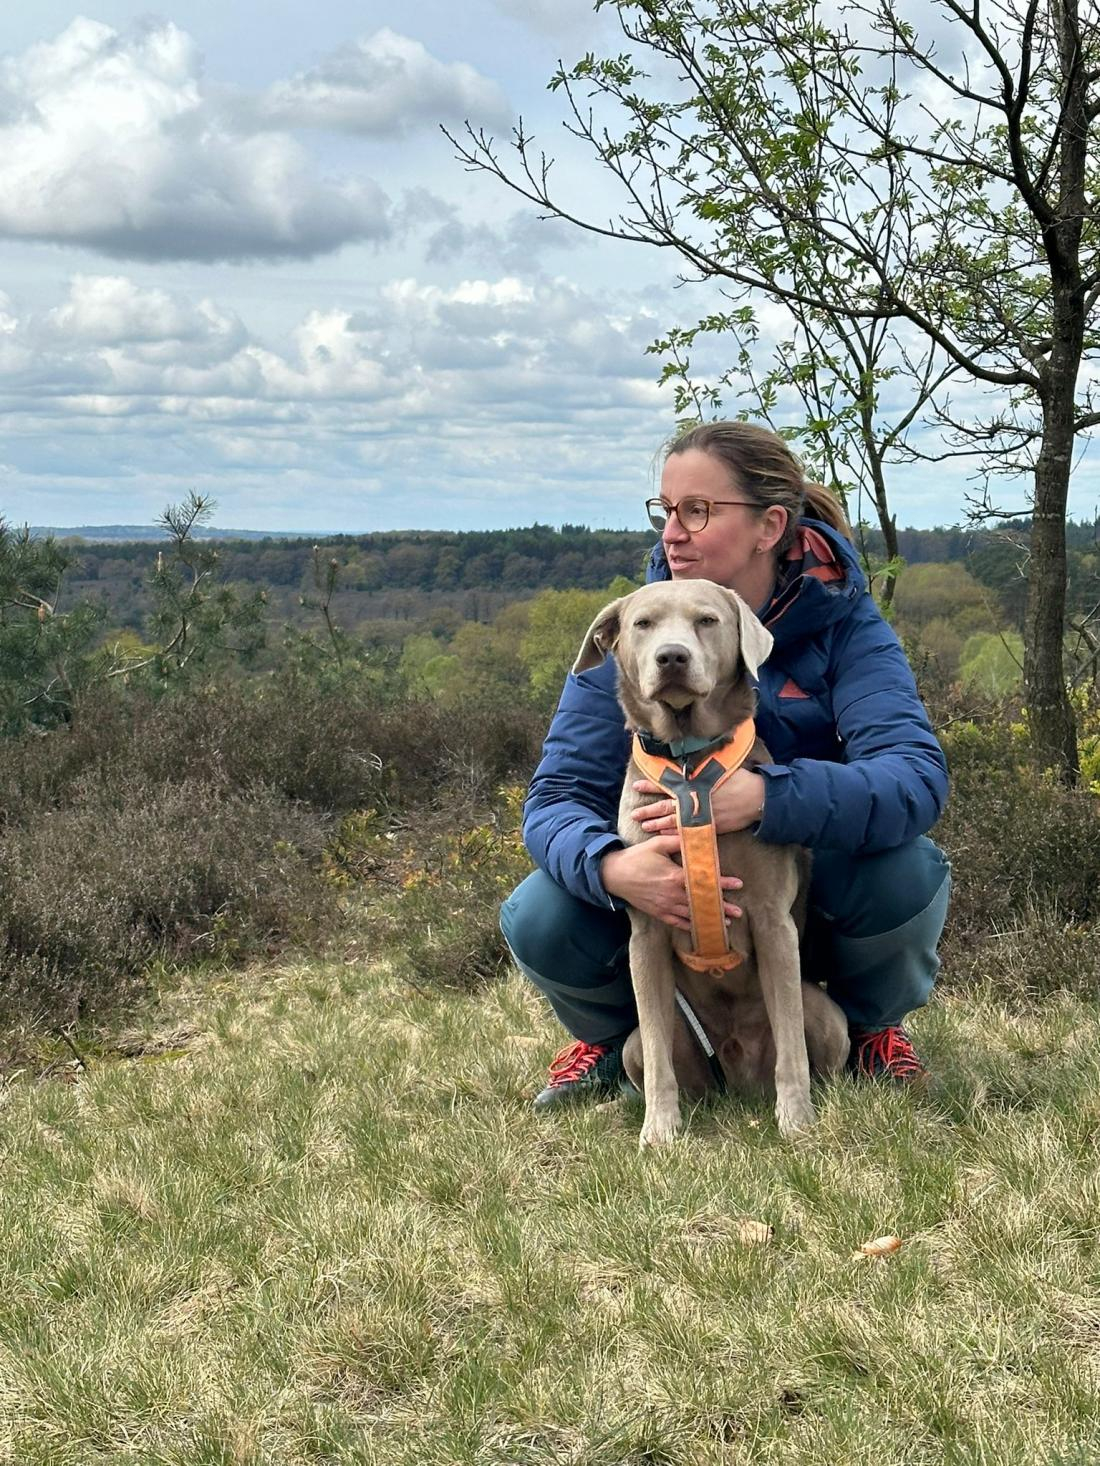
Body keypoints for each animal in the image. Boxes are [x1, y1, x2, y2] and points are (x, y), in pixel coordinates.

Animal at [577, 580, 850, 1143]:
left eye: (706, 620)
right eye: (643, 624)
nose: (672, 657)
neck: (689, 762)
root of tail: (738, 1082)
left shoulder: (772, 923)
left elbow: (792, 1047)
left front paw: (796, 1122)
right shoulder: (646, 934)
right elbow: (658, 1052)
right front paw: (659, 1131)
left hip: (828, 1017)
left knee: (819, 1058)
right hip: (641, 1048)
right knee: (654, 1060)